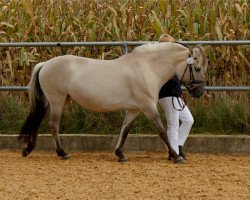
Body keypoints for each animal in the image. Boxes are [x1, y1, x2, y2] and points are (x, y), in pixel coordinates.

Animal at [18, 41, 208, 163]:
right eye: (196, 68)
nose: (199, 92)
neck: (146, 68)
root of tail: (45, 64)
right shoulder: (148, 107)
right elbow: (161, 131)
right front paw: (176, 156)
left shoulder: (134, 110)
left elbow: (125, 131)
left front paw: (120, 154)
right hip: (57, 101)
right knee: (53, 126)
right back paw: (62, 153)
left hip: (52, 102)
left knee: (38, 122)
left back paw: (28, 149)